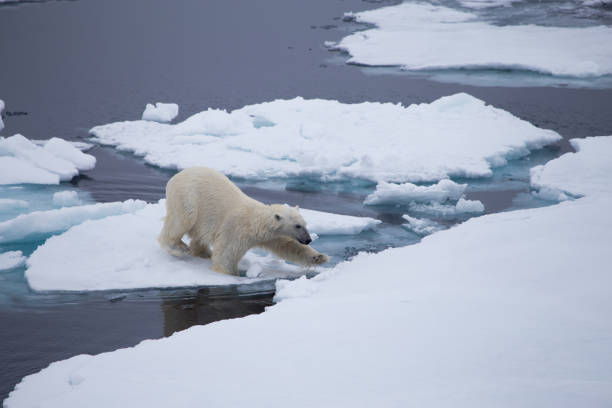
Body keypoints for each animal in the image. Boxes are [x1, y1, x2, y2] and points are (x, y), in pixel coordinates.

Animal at [159, 167, 330, 276]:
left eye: (305, 224)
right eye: (297, 225)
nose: (308, 240)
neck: (254, 222)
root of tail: (177, 175)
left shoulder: (272, 236)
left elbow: (288, 246)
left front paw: (319, 257)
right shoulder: (235, 229)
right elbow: (226, 255)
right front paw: (231, 274)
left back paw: (203, 253)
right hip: (187, 197)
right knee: (181, 220)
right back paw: (178, 247)